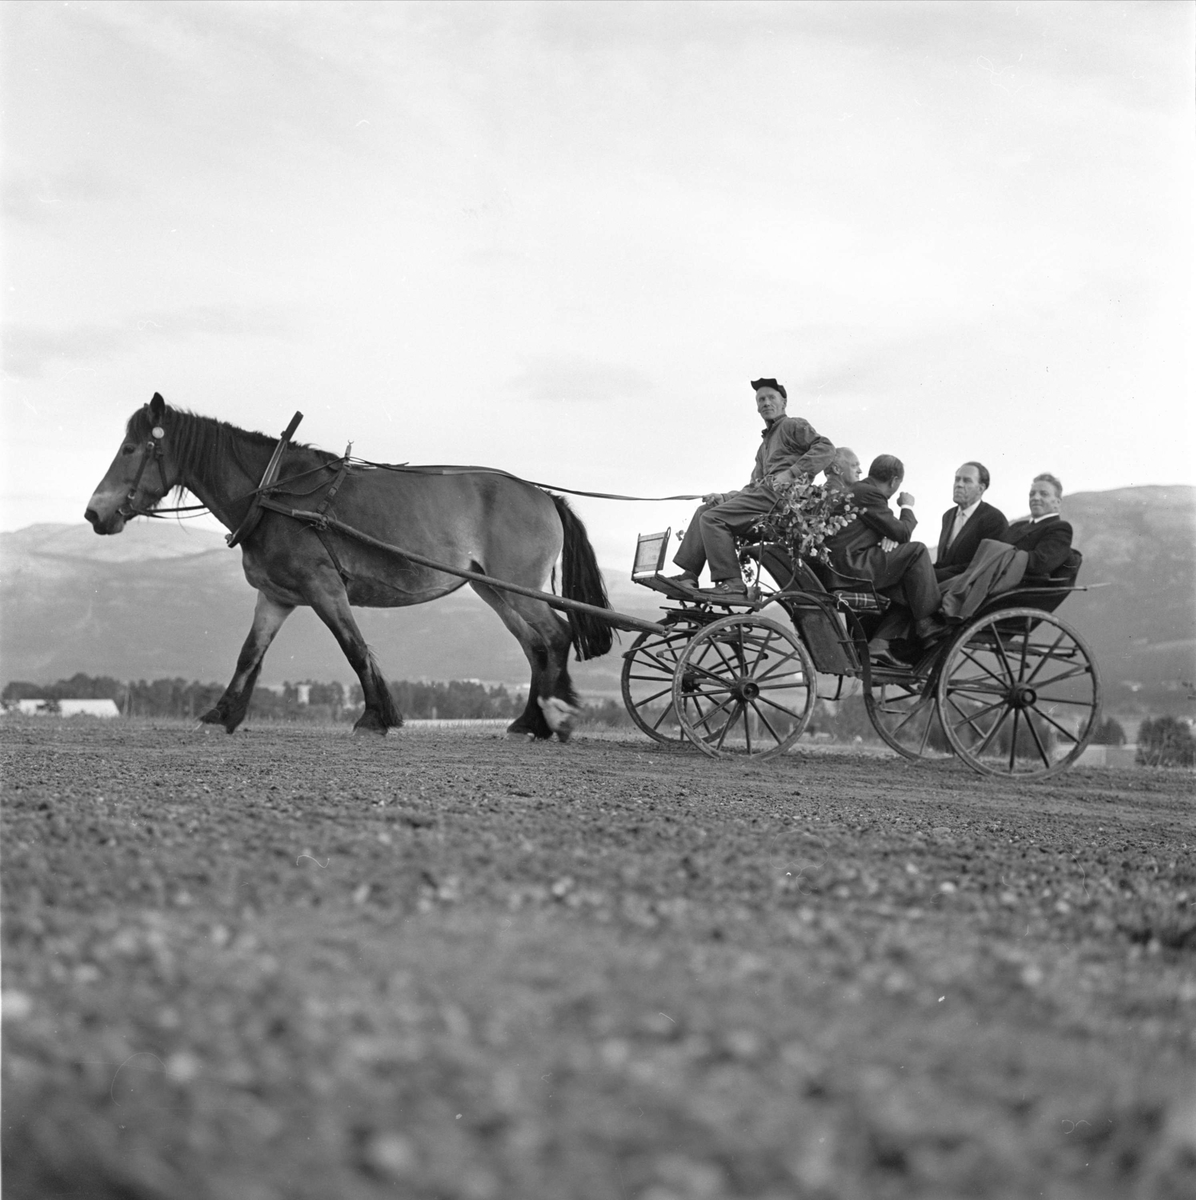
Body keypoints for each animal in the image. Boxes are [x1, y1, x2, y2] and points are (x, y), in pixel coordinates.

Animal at [83, 398, 611, 739]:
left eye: (130, 450)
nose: (93, 513)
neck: (274, 493)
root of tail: (544, 495)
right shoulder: (277, 596)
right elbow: (249, 655)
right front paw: (223, 713)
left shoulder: (324, 587)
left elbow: (354, 649)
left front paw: (375, 718)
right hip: (494, 589)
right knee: (536, 646)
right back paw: (528, 722)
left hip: (519, 587)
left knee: (556, 636)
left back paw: (555, 718)